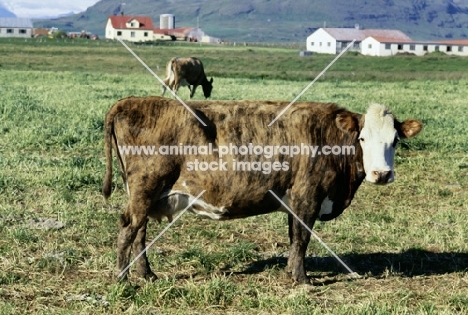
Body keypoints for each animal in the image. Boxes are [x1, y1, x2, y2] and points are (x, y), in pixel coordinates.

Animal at [103, 95, 424, 284]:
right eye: (362, 138)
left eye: (395, 140)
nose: (381, 174)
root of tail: (131, 101)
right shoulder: (308, 196)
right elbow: (303, 239)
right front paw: (302, 280)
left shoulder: (294, 199)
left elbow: (294, 237)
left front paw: (291, 272)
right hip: (145, 188)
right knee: (128, 228)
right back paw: (123, 279)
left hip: (146, 194)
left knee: (140, 232)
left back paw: (147, 274)